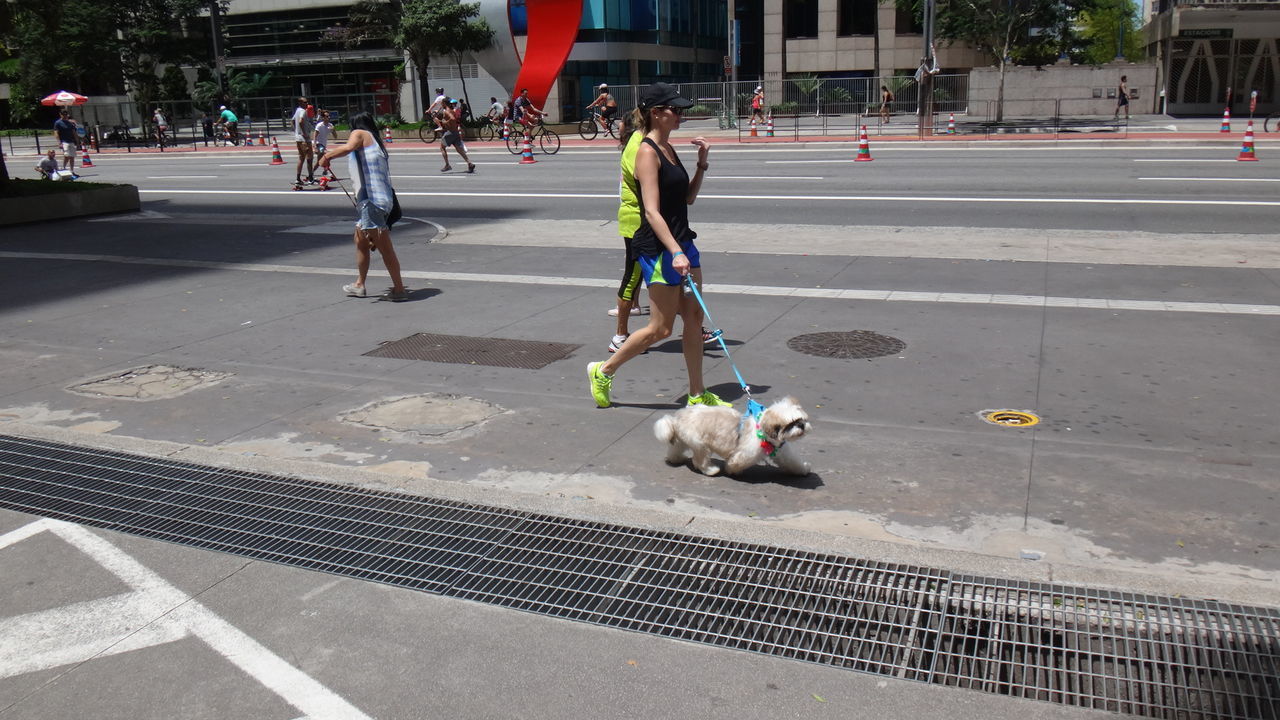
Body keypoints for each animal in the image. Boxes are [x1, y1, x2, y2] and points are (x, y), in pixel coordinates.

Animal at [660, 394, 808, 474]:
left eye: (801, 419)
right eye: (790, 424)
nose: (801, 425)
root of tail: (677, 418)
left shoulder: (783, 452)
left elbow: (792, 462)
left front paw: (803, 469)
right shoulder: (746, 453)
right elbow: (737, 462)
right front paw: (731, 469)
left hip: (682, 440)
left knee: (675, 448)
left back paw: (676, 459)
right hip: (700, 444)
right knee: (700, 460)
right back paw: (711, 470)